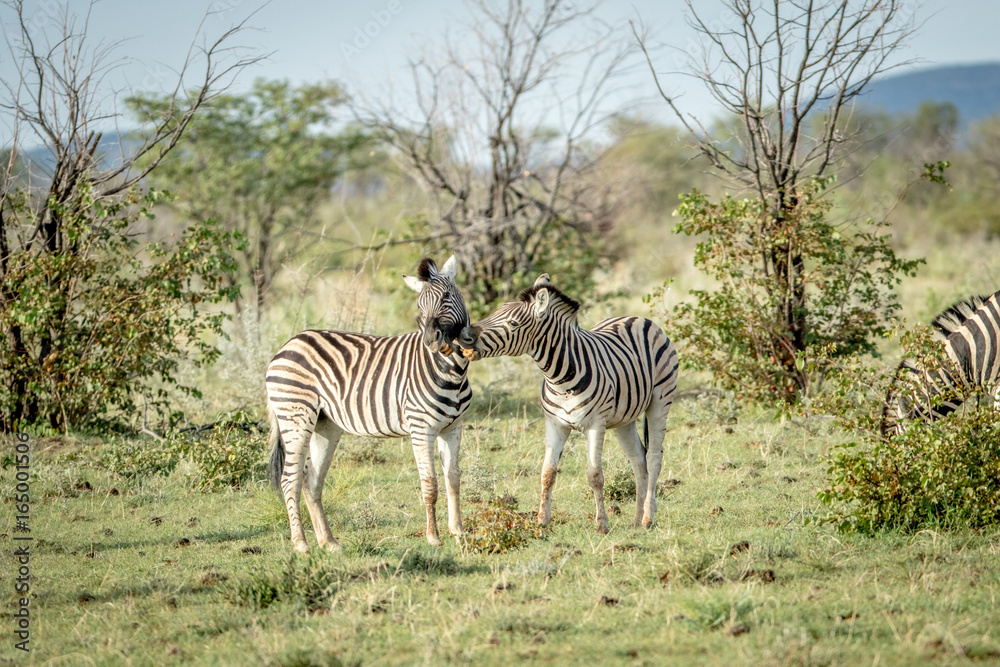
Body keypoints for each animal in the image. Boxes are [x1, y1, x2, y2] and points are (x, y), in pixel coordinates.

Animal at [265, 256, 478, 552]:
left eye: (447, 296)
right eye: (419, 305)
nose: (431, 341)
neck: (452, 371)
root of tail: (288, 344)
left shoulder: (453, 428)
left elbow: (454, 479)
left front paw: (458, 533)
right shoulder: (421, 429)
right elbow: (430, 484)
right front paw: (433, 537)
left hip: (325, 425)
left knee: (311, 480)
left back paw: (329, 542)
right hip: (295, 416)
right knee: (290, 479)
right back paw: (301, 544)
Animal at [461, 274, 679, 533]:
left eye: (513, 323)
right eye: (495, 312)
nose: (463, 337)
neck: (560, 379)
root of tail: (636, 318)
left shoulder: (595, 424)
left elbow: (595, 475)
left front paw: (602, 524)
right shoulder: (555, 424)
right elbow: (547, 472)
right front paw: (542, 521)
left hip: (660, 400)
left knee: (654, 457)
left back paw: (647, 518)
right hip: (624, 418)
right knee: (638, 460)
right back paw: (636, 520)